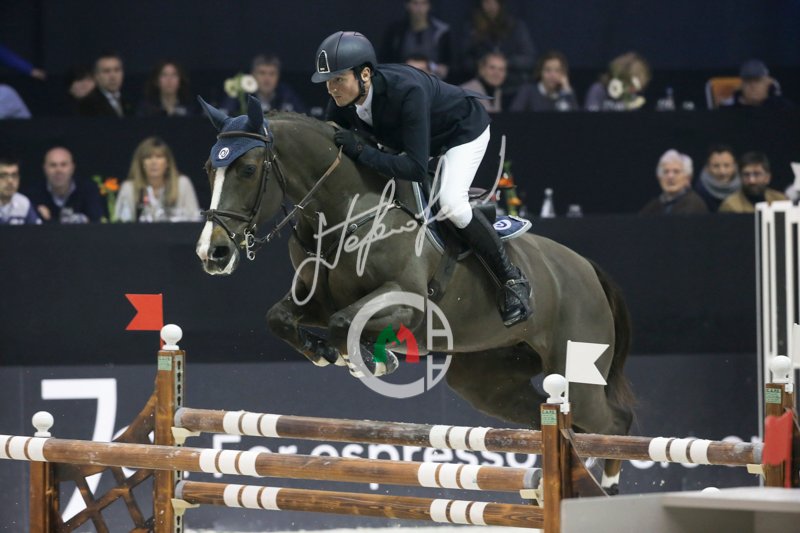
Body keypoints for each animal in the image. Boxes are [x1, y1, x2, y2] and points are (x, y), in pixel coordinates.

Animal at [195, 96, 635, 490]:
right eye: (208, 169)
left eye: (248, 169)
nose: (212, 253)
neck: (348, 213)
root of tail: (587, 269)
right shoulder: (314, 300)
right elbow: (282, 318)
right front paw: (325, 353)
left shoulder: (409, 306)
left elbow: (344, 322)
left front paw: (373, 360)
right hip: (488, 382)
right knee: (557, 423)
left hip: (577, 372)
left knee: (614, 424)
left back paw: (608, 486)